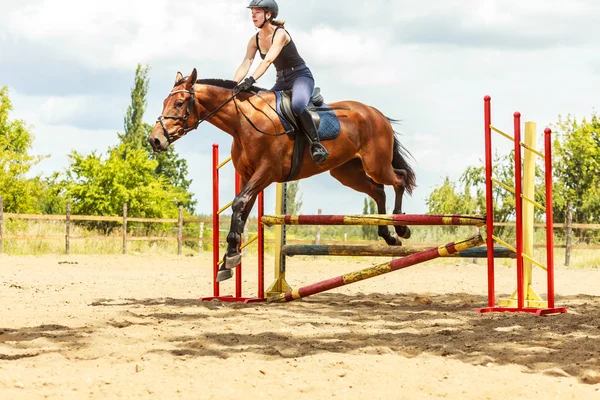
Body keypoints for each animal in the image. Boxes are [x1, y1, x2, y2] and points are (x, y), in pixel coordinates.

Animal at [148, 68, 414, 282]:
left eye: (179, 103)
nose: (155, 140)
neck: (243, 122)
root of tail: (376, 114)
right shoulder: (249, 176)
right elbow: (242, 209)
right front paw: (229, 260)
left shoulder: (267, 172)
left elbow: (239, 203)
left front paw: (230, 257)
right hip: (347, 172)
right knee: (378, 190)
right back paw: (388, 236)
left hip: (376, 165)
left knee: (399, 179)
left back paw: (401, 227)